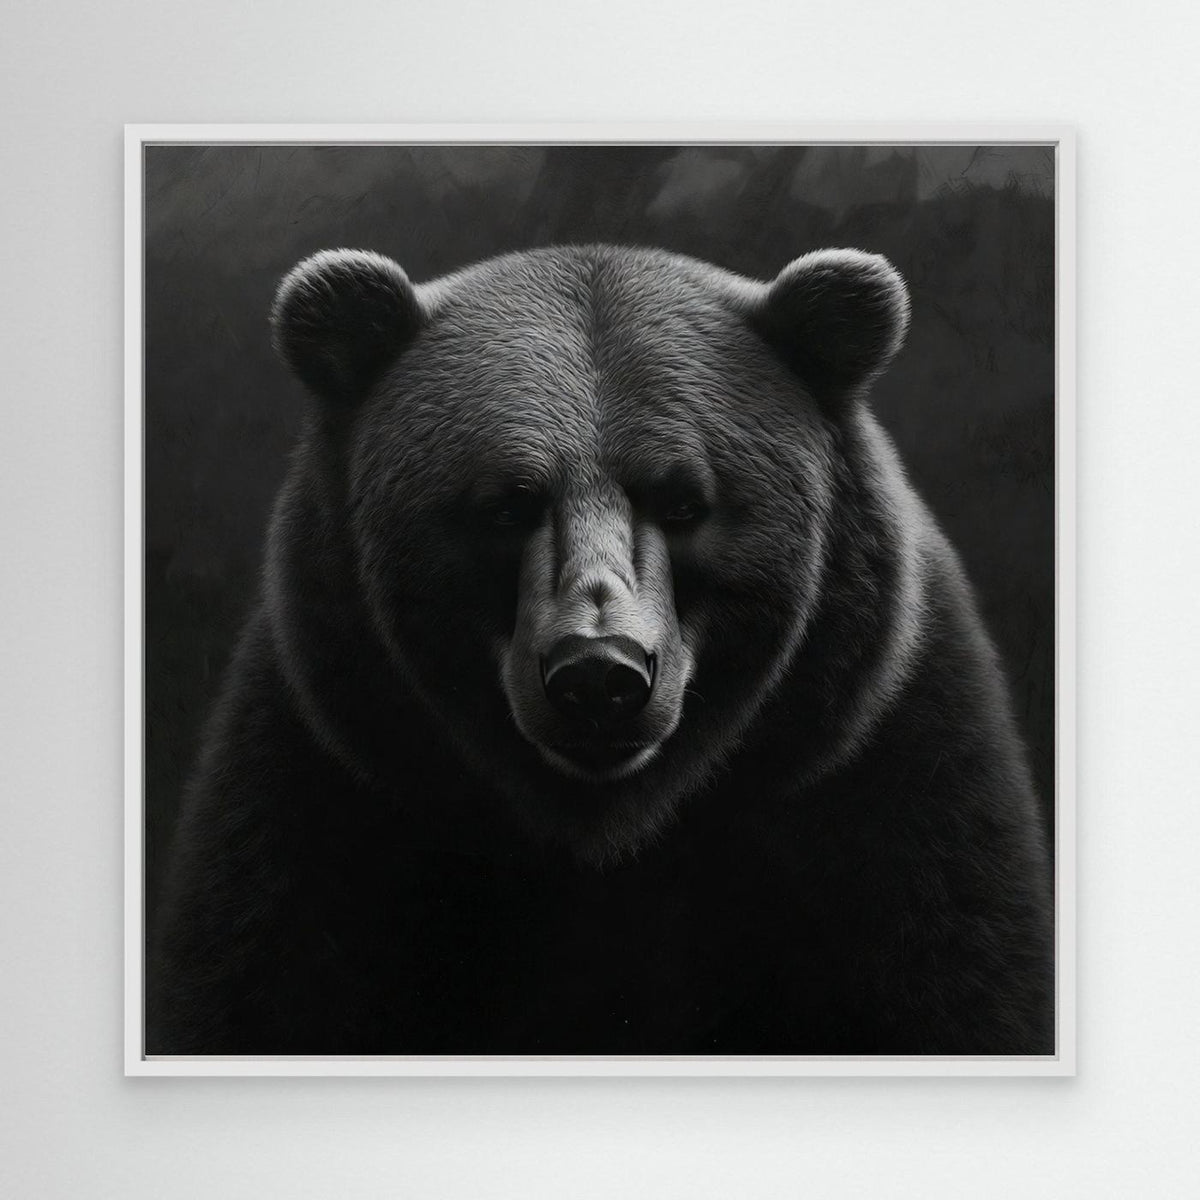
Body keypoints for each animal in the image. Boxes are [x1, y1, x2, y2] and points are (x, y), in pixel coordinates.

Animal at [149, 243, 1054, 1057]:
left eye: (684, 500)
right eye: (507, 503)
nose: (598, 675)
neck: (607, 833)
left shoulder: (880, 781)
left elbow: (955, 967)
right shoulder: (330, 787)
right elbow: (264, 974)